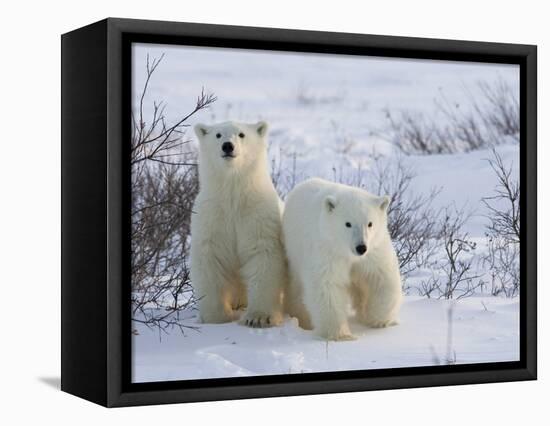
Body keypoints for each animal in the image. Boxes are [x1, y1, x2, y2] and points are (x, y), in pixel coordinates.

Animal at [191, 121, 286, 328]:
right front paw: (217, 317)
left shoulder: (258, 214)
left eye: (241, 134)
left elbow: (263, 255)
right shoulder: (212, 216)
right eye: (218, 135)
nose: (228, 146)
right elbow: (210, 259)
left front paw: (258, 317)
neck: (233, 193)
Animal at [282, 178, 404, 342]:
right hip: (294, 250)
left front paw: (378, 319)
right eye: (348, 224)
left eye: (370, 223)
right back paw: (302, 318)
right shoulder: (327, 251)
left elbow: (381, 278)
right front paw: (341, 335)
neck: (346, 251)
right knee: (297, 288)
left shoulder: (374, 251)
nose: (361, 247)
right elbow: (328, 285)